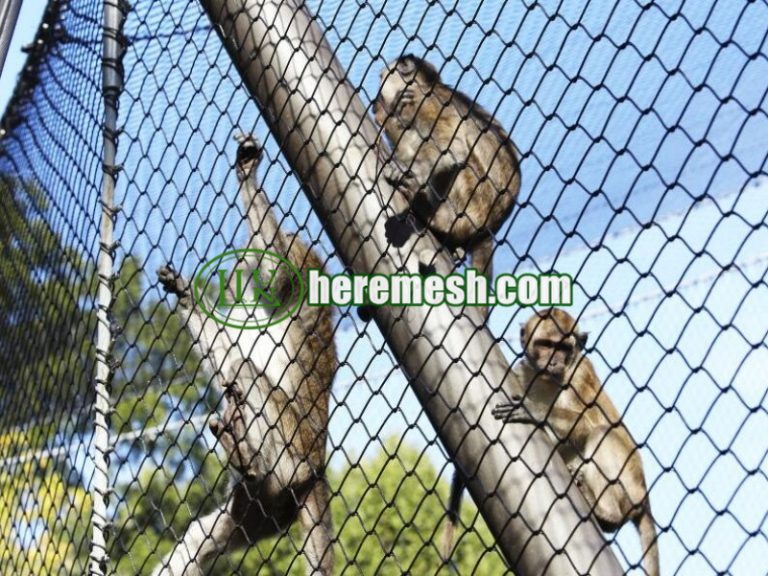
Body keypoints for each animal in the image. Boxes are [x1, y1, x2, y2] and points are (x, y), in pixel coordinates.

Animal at [154, 134, 336, 576]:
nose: (239, 265)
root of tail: (314, 470)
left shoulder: (298, 272)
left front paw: (249, 178)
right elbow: (223, 349)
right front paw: (184, 294)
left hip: (296, 446)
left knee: (245, 372)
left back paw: (251, 455)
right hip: (257, 509)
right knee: (204, 537)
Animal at [374, 54, 521, 289]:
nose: (376, 102)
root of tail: (488, 229)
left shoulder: (424, 102)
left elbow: (453, 152)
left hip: (474, 201)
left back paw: (436, 216)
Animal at [487, 308, 660, 576]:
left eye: (564, 348)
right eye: (546, 345)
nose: (554, 363)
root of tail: (644, 498)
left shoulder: (580, 373)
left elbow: (588, 423)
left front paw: (537, 411)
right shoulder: (523, 372)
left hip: (628, 484)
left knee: (601, 433)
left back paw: (606, 514)